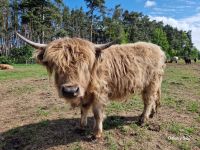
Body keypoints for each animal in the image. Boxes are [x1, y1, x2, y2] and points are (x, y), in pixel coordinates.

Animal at [16, 32, 166, 139]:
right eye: (56, 64)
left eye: (85, 64)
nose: (70, 90)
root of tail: (158, 48)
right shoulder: (84, 93)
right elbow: (83, 109)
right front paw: (81, 126)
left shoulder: (99, 93)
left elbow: (97, 113)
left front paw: (97, 133)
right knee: (154, 99)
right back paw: (152, 114)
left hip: (151, 83)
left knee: (148, 100)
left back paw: (143, 119)